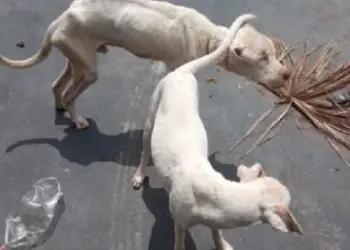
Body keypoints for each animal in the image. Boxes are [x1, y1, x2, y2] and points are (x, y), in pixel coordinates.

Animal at [0, 0, 290, 130]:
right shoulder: (174, 70)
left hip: (77, 60)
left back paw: (61, 107)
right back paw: (77, 120)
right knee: (71, 93)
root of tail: (59, 20)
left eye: (274, 54)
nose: (287, 74)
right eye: (262, 59)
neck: (211, 38)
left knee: (57, 85)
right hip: (88, 71)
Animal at [133, 13, 302, 250]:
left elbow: (216, 232)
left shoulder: (216, 220)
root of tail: (183, 72)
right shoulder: (181, 223)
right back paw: (139, 175)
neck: (219, 195)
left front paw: (221, 244)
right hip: (151, 119)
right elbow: (179, 241)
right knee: (144, 150)